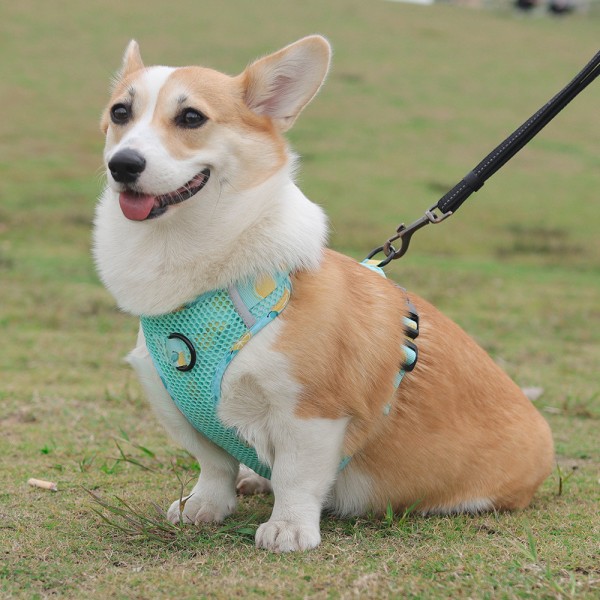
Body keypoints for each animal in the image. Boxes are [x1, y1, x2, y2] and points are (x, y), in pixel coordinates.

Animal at [91, 36, 556, 552]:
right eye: (119, 112)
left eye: (191, 117)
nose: (122, 164)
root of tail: (544, 434)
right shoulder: (176, 405)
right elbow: (213, 465)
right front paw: (203, 507)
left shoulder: (310, 412)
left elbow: (297, 476)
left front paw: (289, 529)